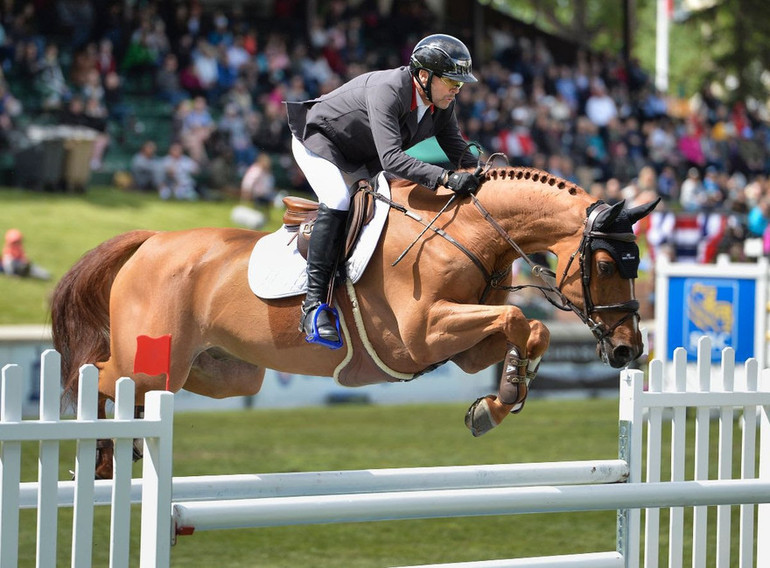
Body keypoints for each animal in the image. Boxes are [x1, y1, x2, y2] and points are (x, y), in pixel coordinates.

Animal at [51, 166, 656, 478]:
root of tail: (150, 240)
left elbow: (528, 329)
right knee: (96, 373)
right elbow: (516, 317)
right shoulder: (418, 335)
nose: (629, 350)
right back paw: (96, 449)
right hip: (155, 359)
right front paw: (502, 396)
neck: (464, 232)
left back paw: (117, 451)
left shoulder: (460, 345)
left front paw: (496, 400)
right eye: (607, 265)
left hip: (224, 373)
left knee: (142, 388)